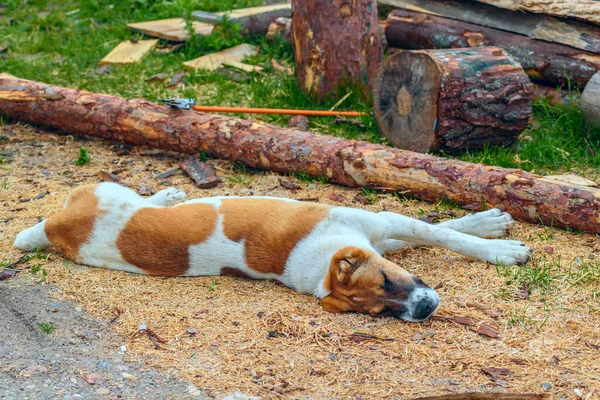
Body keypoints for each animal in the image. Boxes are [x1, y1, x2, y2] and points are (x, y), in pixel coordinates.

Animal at [12, 183, 528, 324]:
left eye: (386, 282)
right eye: (380, 309)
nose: (423, 311)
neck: (319, 265)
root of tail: (55, 227)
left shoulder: (380, 235)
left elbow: (440, 231)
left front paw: (485, 225)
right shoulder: (379, 225)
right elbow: (442, 234)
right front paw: (500, 247)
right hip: (108, 190)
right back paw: (167, 195)